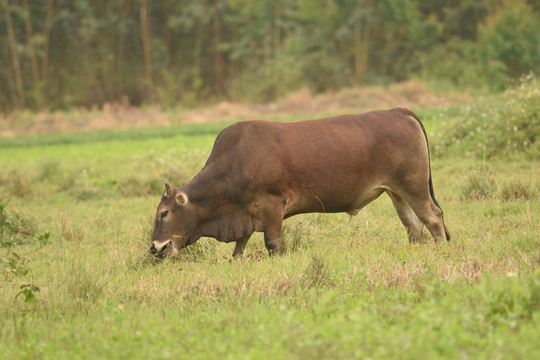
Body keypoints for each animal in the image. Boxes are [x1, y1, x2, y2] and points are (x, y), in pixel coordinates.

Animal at [150, 108, 450, 258]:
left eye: (164, 213)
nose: (155, 248)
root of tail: (398, 111)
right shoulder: (245, 214)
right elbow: (240, 246)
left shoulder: (272, 206)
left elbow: (272, 243)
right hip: (396, 192)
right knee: (414, 227)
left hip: (413, 185)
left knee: (433, 217)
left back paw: (442, 252)